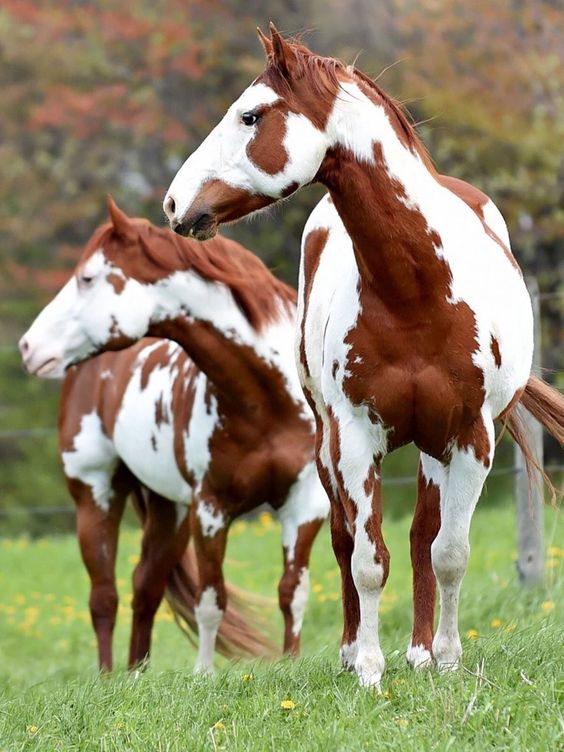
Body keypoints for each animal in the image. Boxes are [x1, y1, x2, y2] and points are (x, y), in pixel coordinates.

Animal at [19, 200, 328, 676]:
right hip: (96, 494)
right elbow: (211, 600)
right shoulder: (211, 510)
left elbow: (292, 593)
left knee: (145, 586)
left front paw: (291, 662)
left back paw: (136, 675)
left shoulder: (305, 505)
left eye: (87, 278)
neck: (267, 402)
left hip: (170, 509)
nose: (28, 348)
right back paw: (108, 678)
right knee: (104, 596)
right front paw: (204, 676)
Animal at [163, 27, 564, 688]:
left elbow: (447, 552)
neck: (416, 294)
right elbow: (367, 558)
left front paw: (446, 659)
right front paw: (370, 668)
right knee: (344, 539)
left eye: (250, 115)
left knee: (423, 537)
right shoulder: (353, 438)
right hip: (327, 445)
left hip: (431, 448)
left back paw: (421, 650)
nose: (174, 205)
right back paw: (355, 652)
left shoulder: (470, 439)